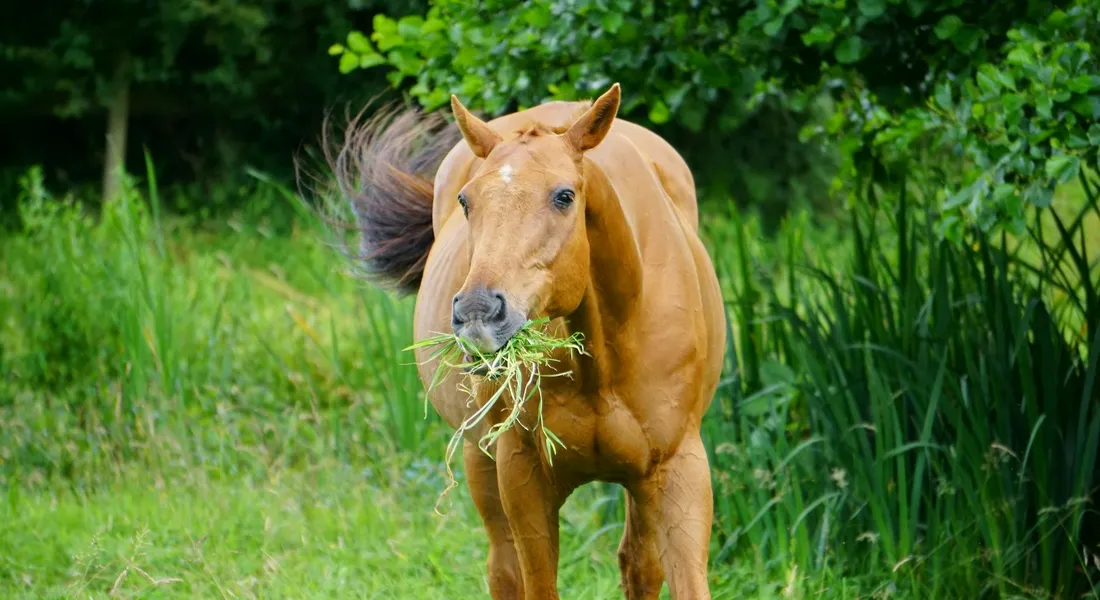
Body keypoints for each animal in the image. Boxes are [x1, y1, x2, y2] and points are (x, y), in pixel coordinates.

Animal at [330, 83, 726, 599]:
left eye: (564, 196)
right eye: (466, 201)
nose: (477, 312)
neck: (604, 359)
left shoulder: (679, 471)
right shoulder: (523, 475)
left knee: (638, 565)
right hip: (480, 460)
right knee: (503, 569)